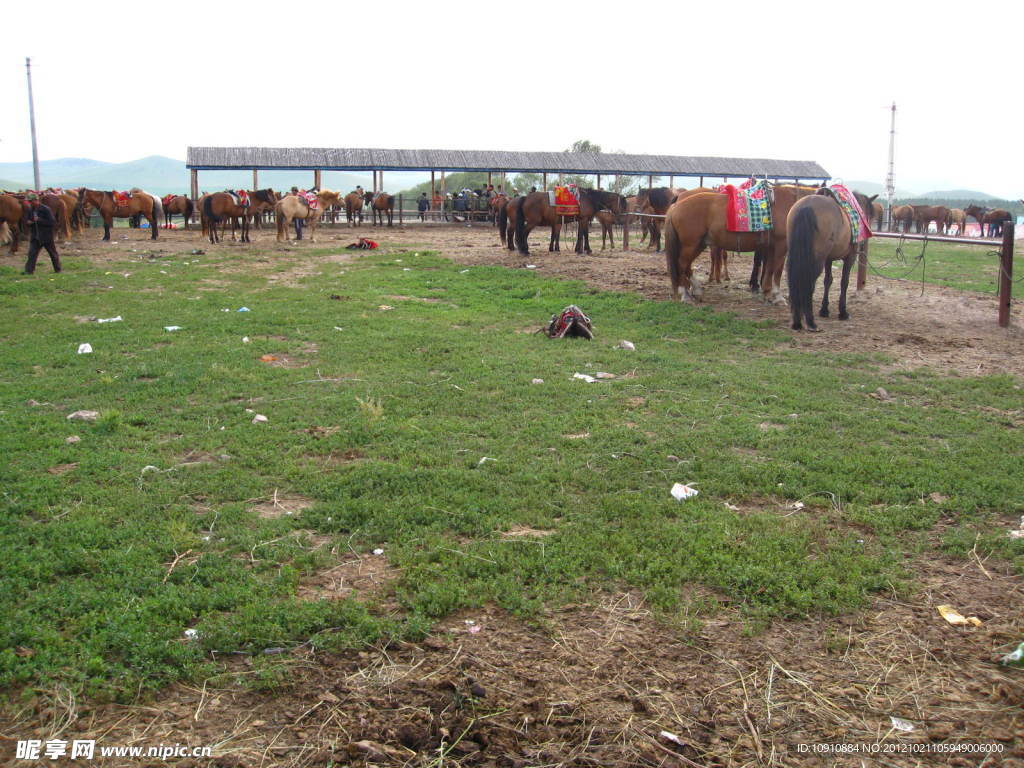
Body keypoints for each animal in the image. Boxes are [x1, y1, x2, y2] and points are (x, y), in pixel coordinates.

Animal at [663, 185, 823, 305]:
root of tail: (676, 205)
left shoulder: (771, 248)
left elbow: (769, 270)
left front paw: (767, 293)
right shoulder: (781, 246)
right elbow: (777, 271)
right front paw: (778, 297)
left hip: (697, 245)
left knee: (686, 267)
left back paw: (695, 290)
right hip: (690, 245)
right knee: (681, 265)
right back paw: (685, 295)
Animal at [782, 189, 872, 331]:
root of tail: (807, 206)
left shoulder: (828, 259)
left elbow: (828, 281)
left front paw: (824, 310)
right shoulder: (850, 257)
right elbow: (844, 282)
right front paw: (843, 312)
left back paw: (797, 321)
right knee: (809, 283)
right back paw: (811, 322)